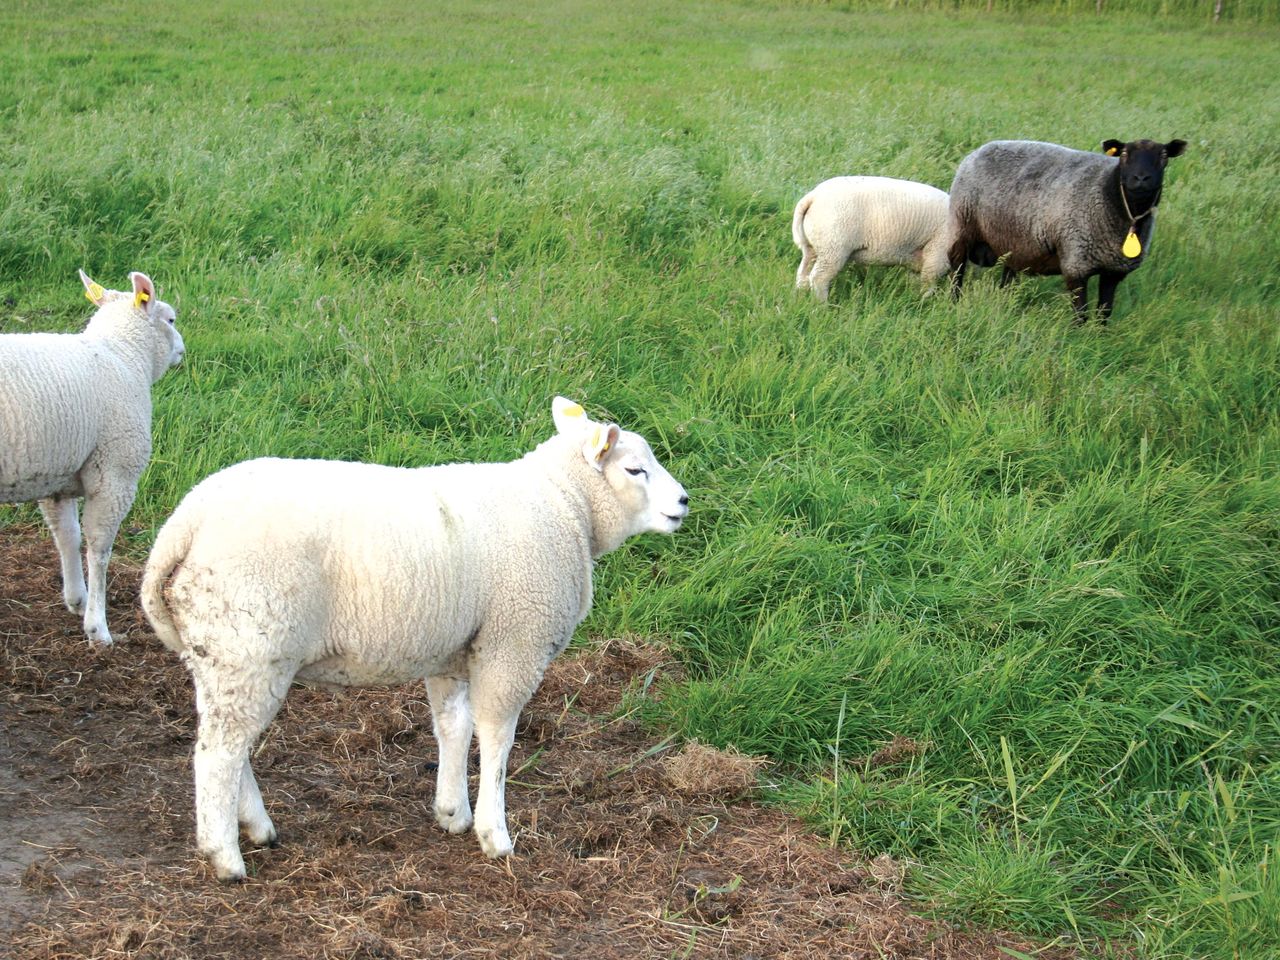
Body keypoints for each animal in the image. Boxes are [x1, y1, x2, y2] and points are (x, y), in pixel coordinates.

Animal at [0, 271, 185, 647]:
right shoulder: (115, 473)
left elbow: (67, 536)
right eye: (171, 319)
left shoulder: (57, 473)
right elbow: (99, 549)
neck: (123, 355)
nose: (182, 349)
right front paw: (98, 627)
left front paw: (76, 599)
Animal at [140, 394, 691, 885]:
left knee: (225, 743)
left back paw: (255, 826)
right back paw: (225, 857)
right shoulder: (514, 643)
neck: (566, 505)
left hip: (223, 651)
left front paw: (452, 812)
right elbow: (498, 739)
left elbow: (454, 727)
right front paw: (495, 834)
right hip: (252, 642)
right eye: (635, 470)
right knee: (218, 754)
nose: (684, 502)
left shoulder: (454, 648)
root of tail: (184, 525)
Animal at [788, 175, 952, 302]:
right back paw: (822, 306)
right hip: (833, 248)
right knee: (819, 278)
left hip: (813, 247)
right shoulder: (938, 253)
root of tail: (813, 196)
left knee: (803, 274)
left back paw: (801, 298)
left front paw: (912, 297)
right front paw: (924, 302)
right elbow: (928, 281)